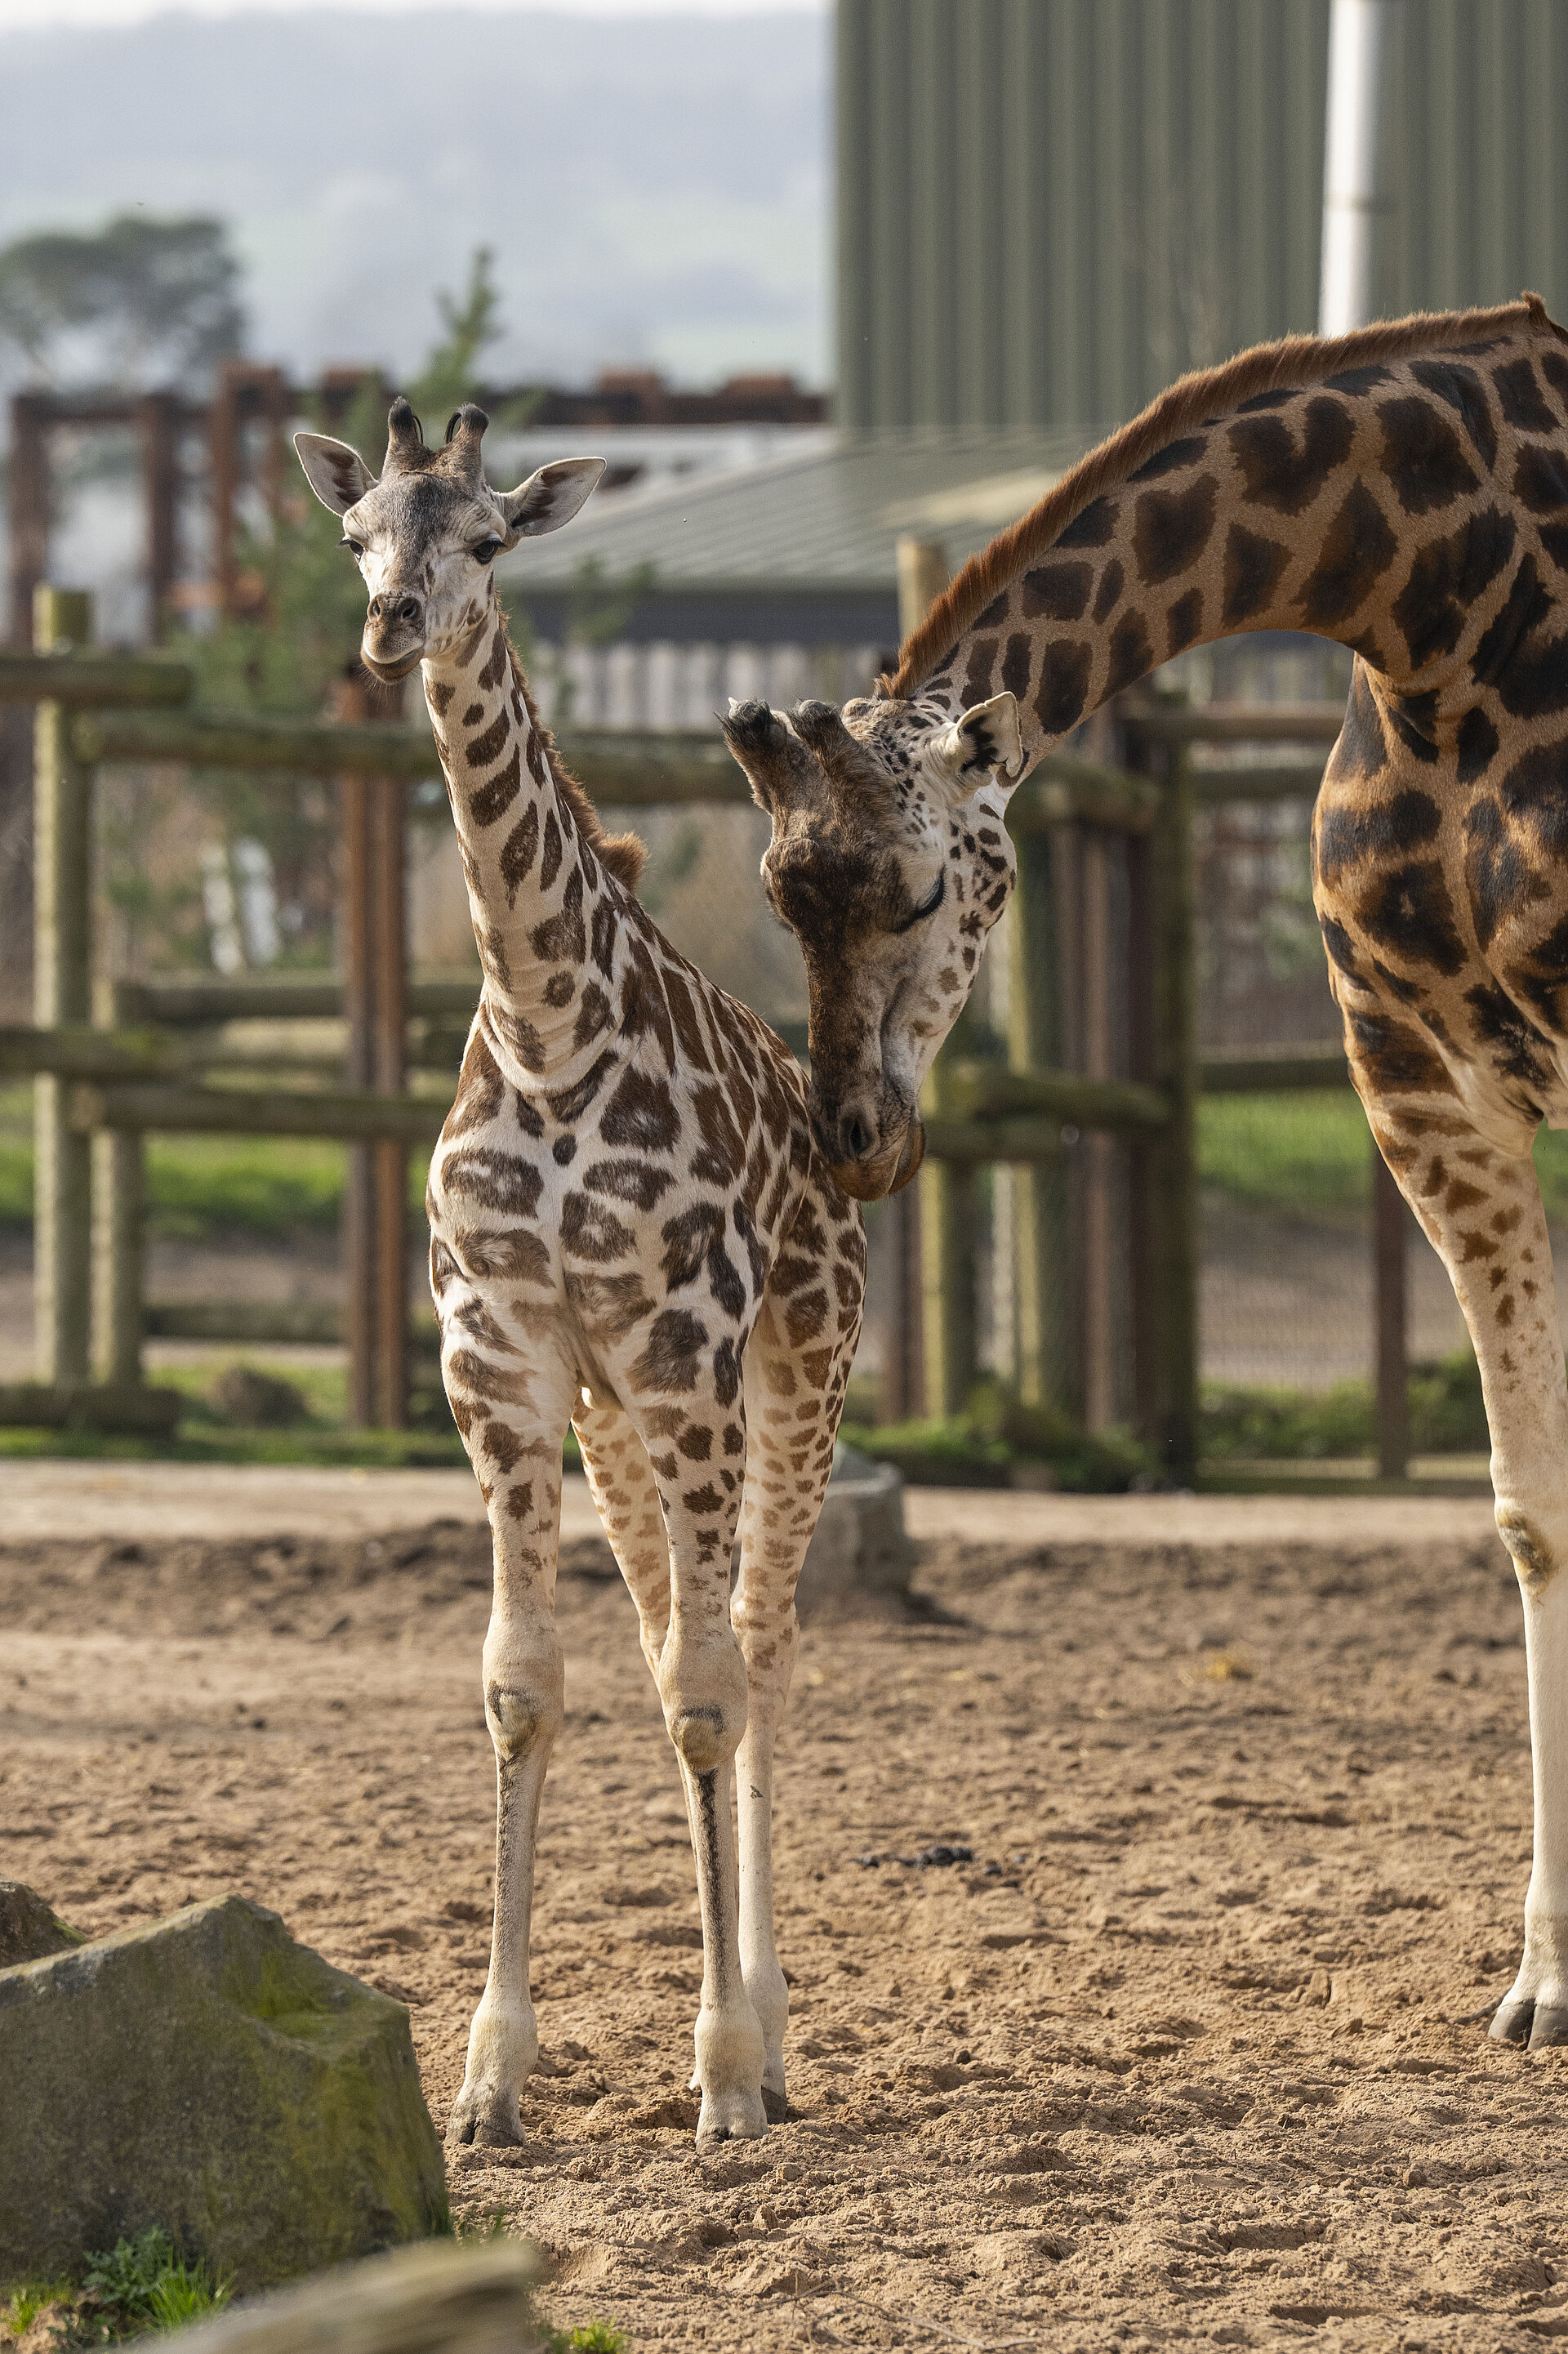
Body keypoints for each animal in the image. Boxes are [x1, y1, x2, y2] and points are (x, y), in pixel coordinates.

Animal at [294, 399, 867, 2148]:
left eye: (486, 537)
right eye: (359, 536)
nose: (391, 622)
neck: (547, 1024)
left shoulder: (688, 1351)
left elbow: (706, 1691)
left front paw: (727, 2071)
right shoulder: (502, 1354)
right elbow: (524, 1687)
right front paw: (488, 2079)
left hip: (795, 1375)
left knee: (755, 1648)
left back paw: (770, 2034)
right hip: (620, 1421)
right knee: (683, 1640)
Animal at [722, 292, 1568, 2052]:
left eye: (919, 892)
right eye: (780, 896)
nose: (856, 1135)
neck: (1448, 605)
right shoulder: (1423, 1079)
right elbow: (1533, 1509)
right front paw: (1545, 1974)